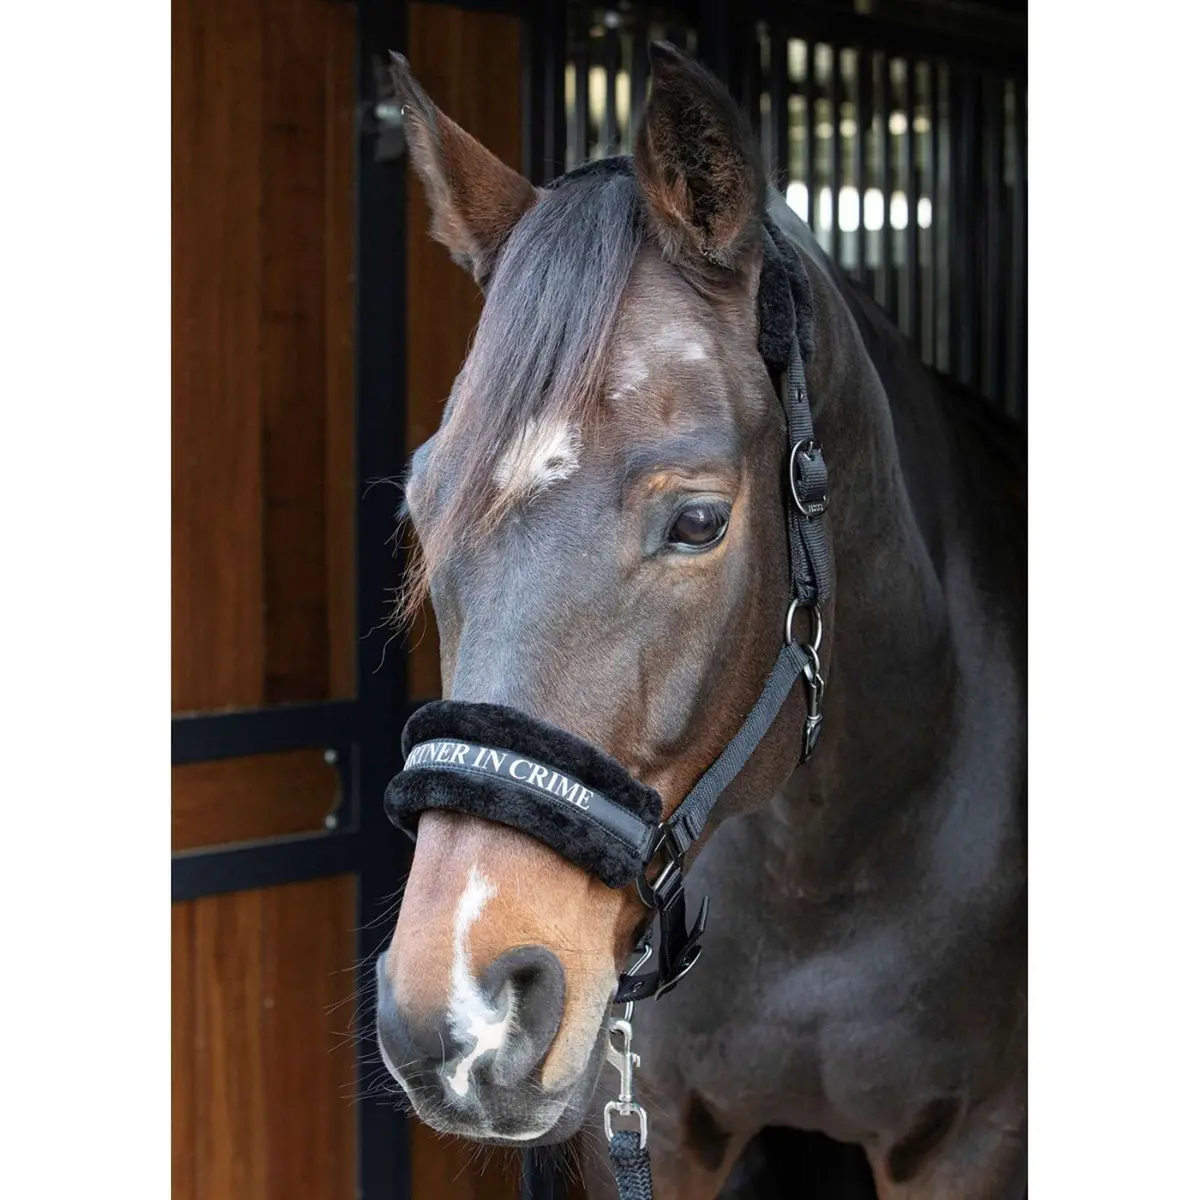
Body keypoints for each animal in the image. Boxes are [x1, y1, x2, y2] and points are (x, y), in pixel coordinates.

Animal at [375, 41, 1026, 1200]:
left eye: (698, 521)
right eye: (422, 502)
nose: (458, 1023)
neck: (833, 867)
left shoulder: (975, 1143)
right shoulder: (659, 1132)